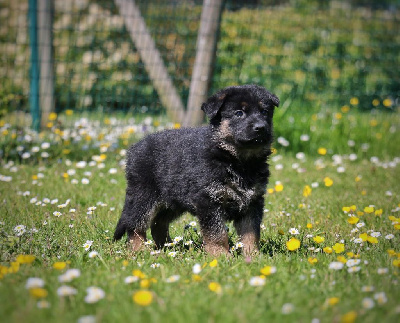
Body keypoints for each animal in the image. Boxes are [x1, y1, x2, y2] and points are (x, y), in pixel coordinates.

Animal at [114, 85, 280, 256]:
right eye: (239, 113)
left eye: (264, 112)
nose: (260, 127)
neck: (237, 160)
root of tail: (134, 148)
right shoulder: (208, 200)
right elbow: (217, 233)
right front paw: (221, 256)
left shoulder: (252, 201)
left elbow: (251, 233)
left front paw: (253, 256)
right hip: (144, 195)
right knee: (135, 224)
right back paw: (140, 250)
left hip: (173, 200)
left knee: (158, 223)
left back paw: (169, 247)